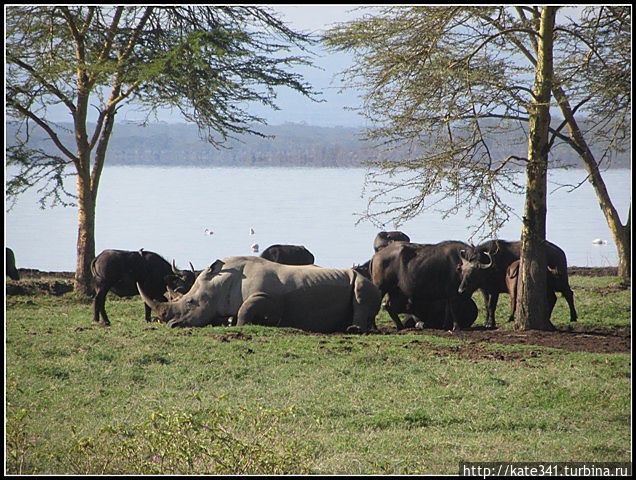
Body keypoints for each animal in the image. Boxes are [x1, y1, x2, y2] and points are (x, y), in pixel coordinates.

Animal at [137, 255, 380, 334]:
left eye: (190, 302)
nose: (170, 324)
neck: (223, 283)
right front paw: (227, 322)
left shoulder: (266, 296)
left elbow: (246, 309)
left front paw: (238, 325)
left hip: (365, 282)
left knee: (361, 292)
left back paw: (352, 329)